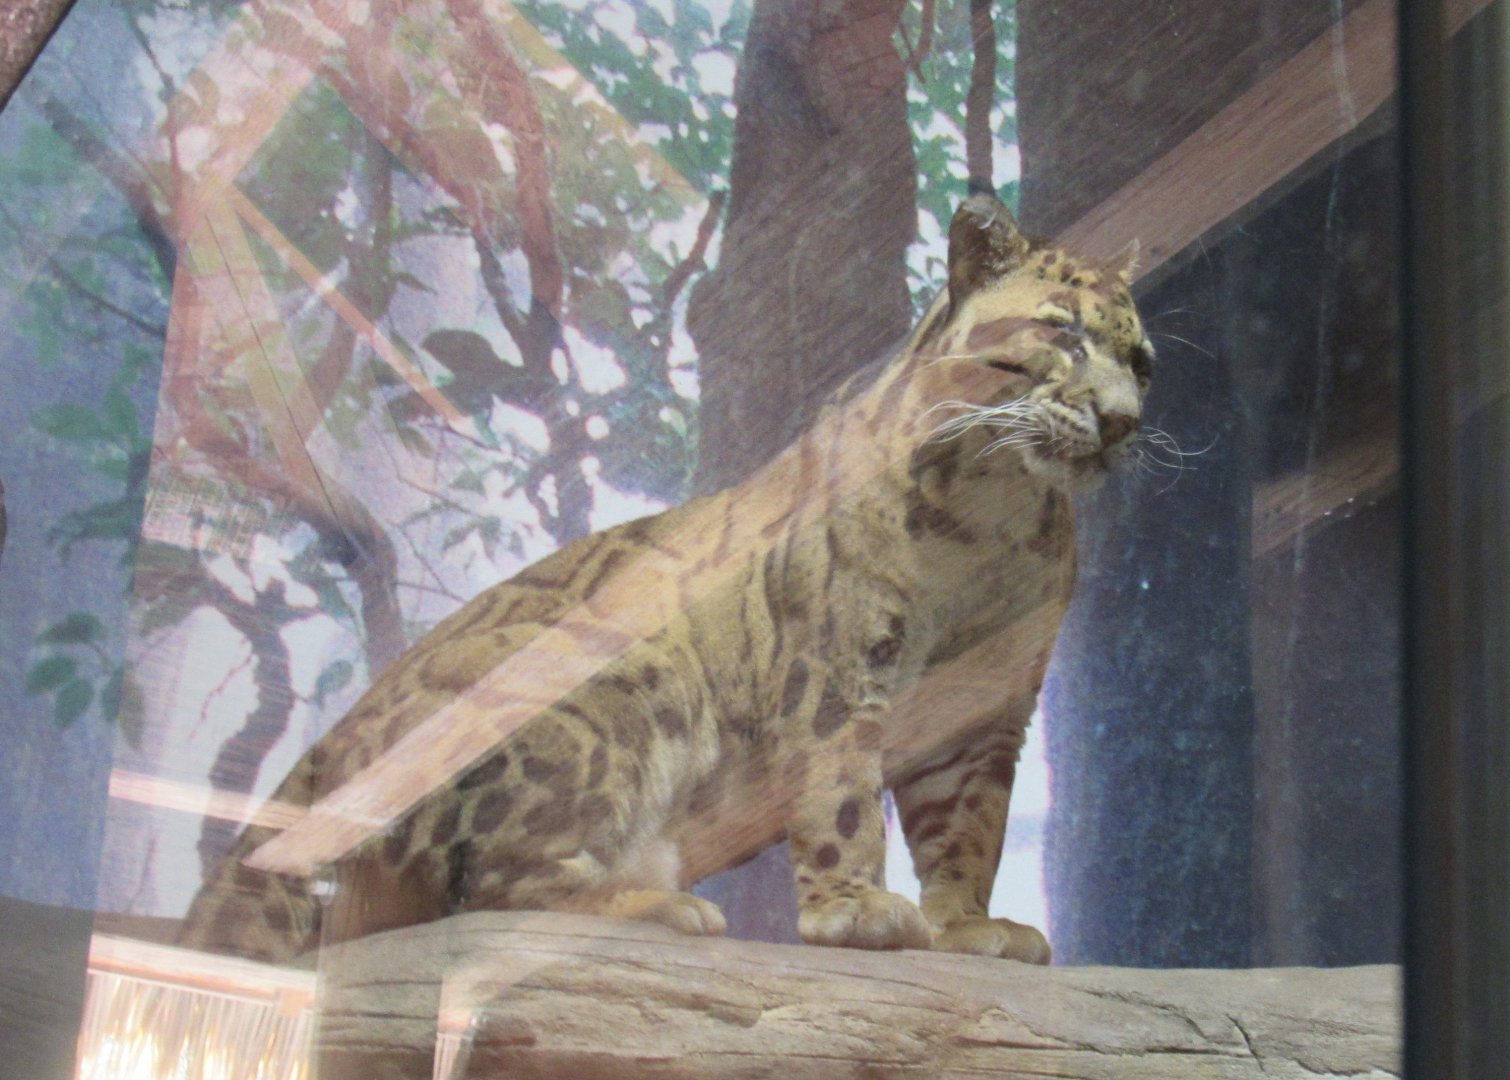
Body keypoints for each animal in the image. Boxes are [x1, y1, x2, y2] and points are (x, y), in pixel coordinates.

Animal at [178, 192, 1153, 966]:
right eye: (1062, 332)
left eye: (1141, 360)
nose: (1121, 419)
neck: (996, 517)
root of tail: (326, 746)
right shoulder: (838, 669)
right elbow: (840, 797)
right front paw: (855, 910)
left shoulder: (985, 712)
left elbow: (969, 829)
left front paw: (966, 926)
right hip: (623, 678)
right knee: (491, 892)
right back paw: (655, 905)